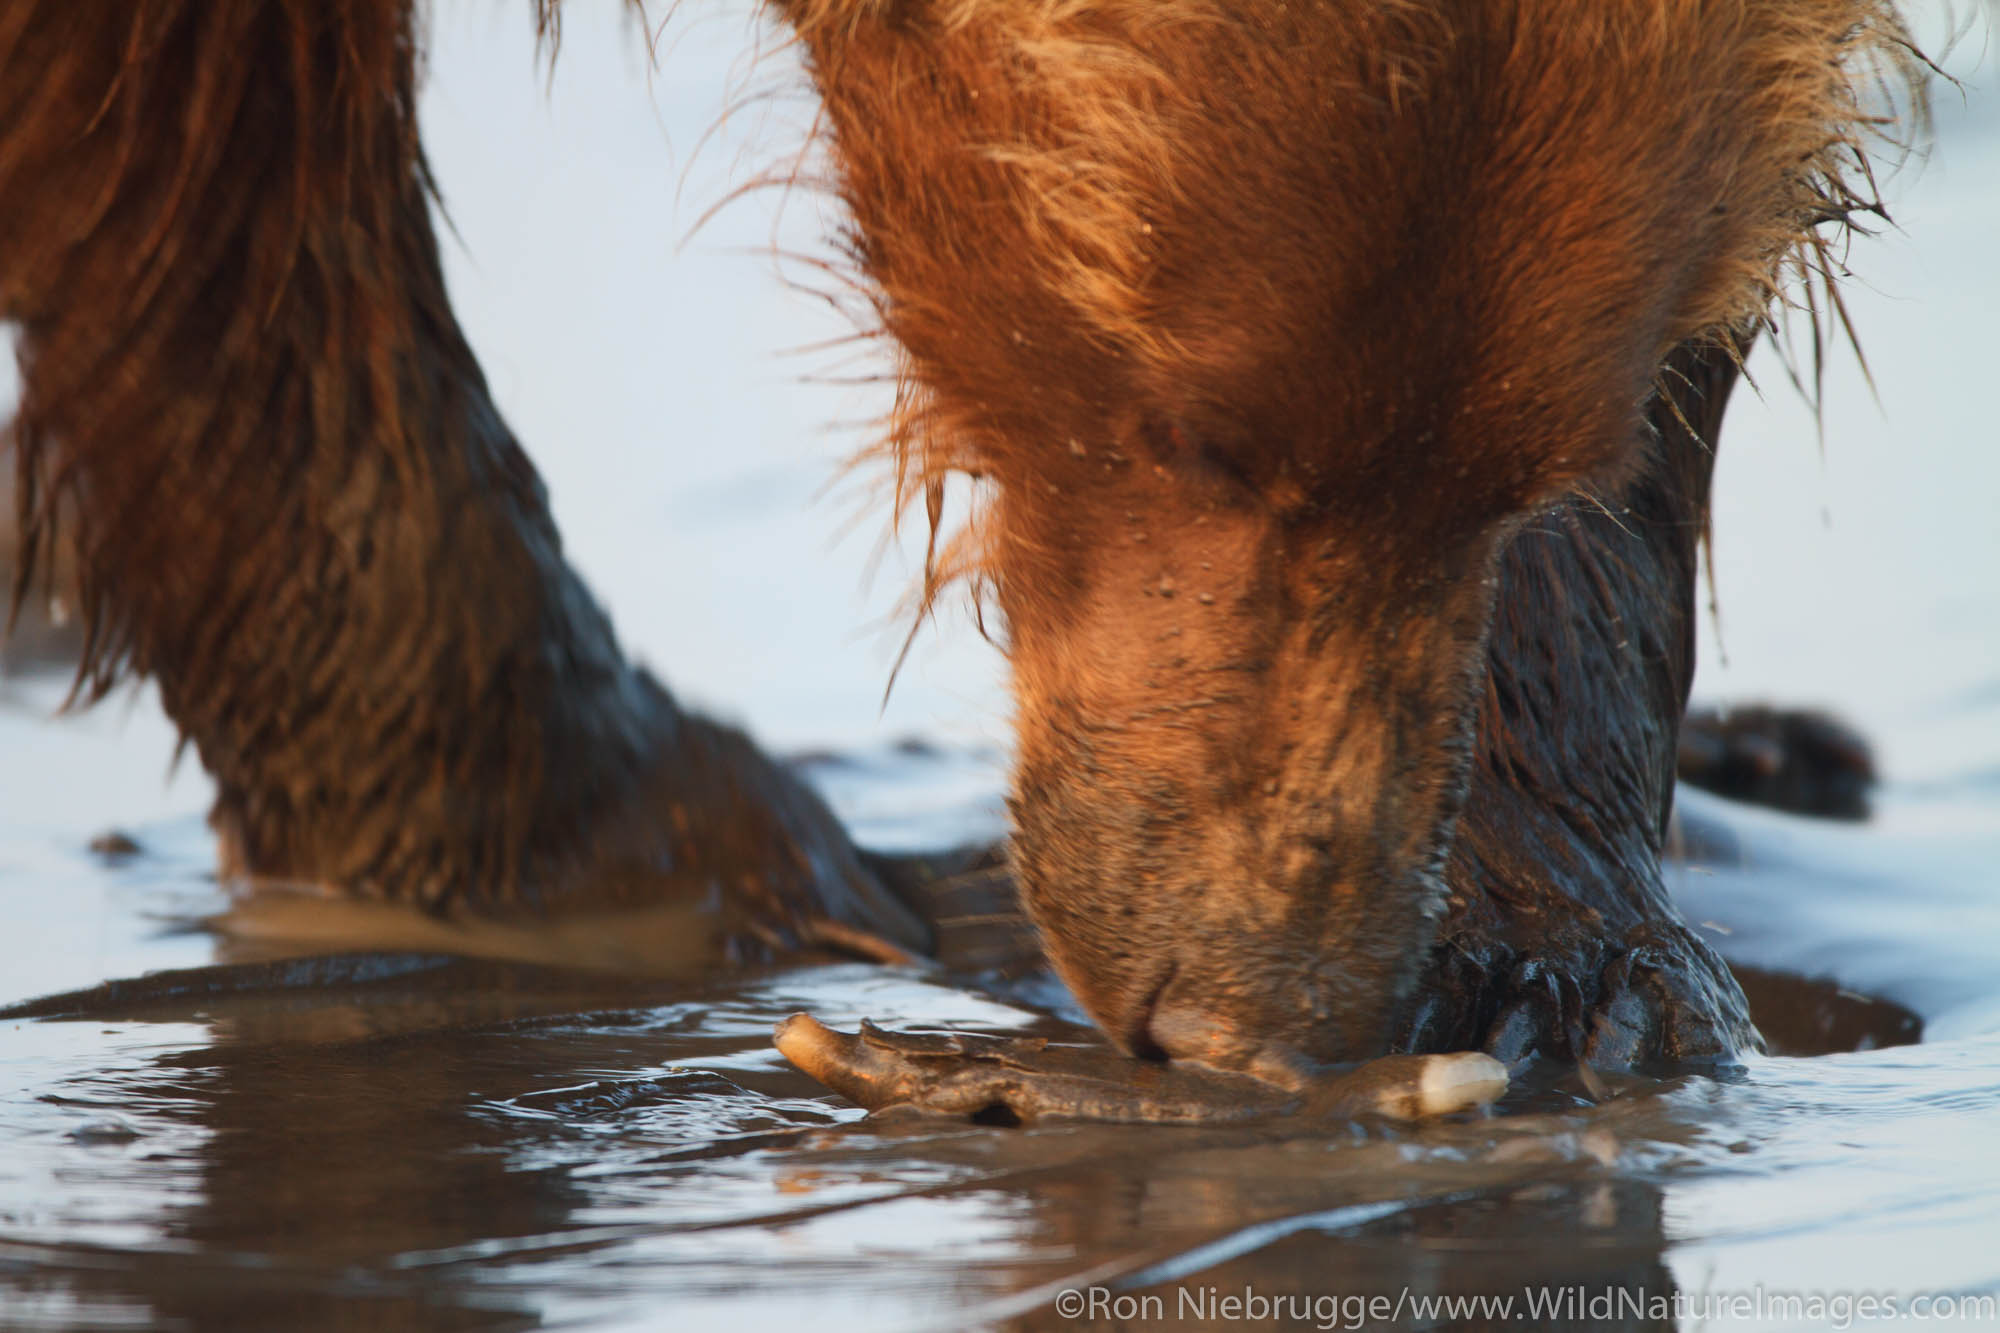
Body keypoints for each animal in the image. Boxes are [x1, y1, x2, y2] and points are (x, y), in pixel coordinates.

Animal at [0, 2, 1928, 1088]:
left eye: (1526, 468)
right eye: (1192, 424)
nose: (1258, 1012)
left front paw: (1554, 962)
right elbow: (195, 152)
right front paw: (649, 841)